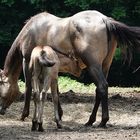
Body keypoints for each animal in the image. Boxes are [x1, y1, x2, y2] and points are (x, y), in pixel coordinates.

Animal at [0, 10, 140, 127]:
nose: (1, 110)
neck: (31, 29)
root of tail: (105, 19)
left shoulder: (27, 61)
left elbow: (28, 87)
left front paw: (24, 114)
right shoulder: (52, 68)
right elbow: (55, 91)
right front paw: (60, 114)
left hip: (93, 66)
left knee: (102, 87)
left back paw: (102, 121)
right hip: (104, 66)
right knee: (99, 91)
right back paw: (91, 120)